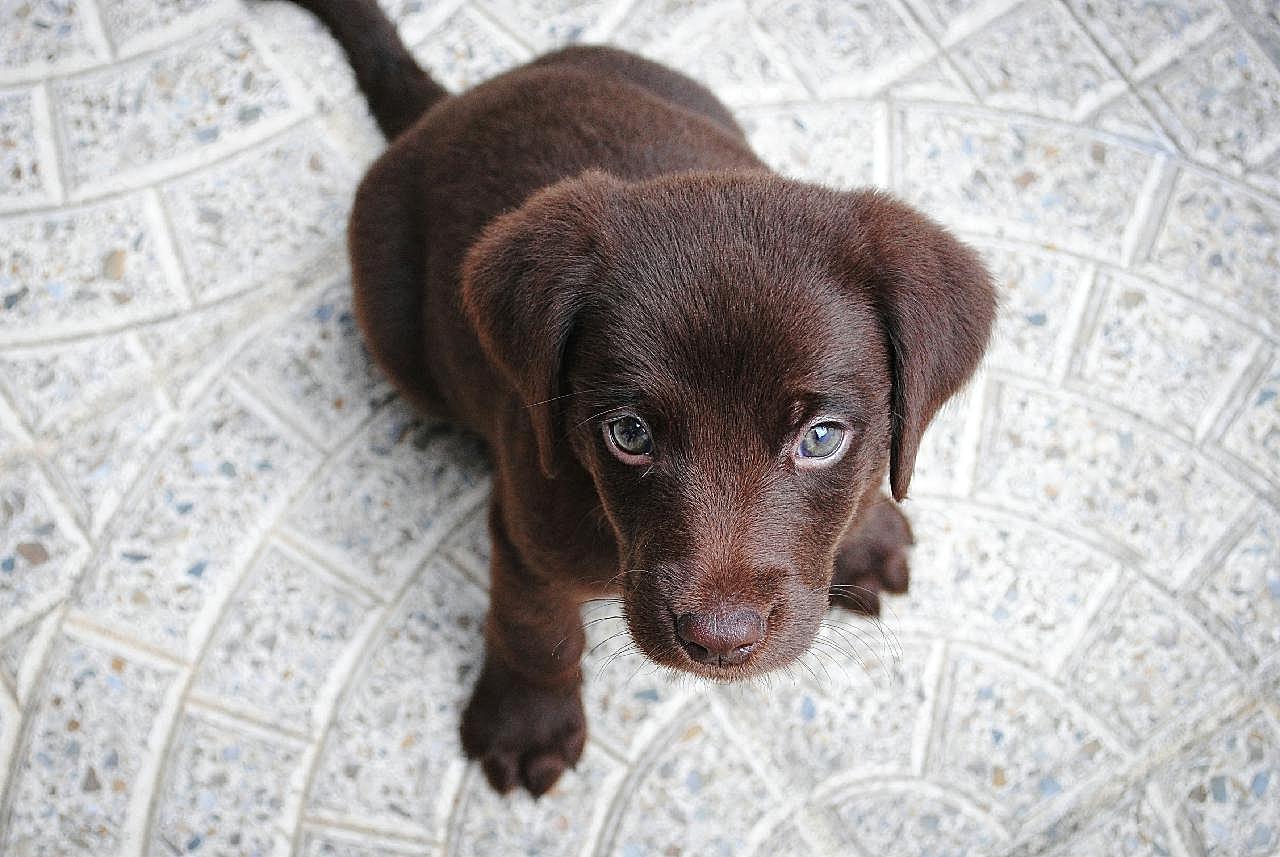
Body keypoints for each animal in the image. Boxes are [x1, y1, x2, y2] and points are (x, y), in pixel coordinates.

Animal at [290, 0, 998, 798]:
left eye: (821, 437)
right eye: (628, 433)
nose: (720, 641)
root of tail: (448, 106)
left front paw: (867, 531)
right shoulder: (529, 528)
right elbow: (536, 627)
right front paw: (526, 723)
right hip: (393, 326)